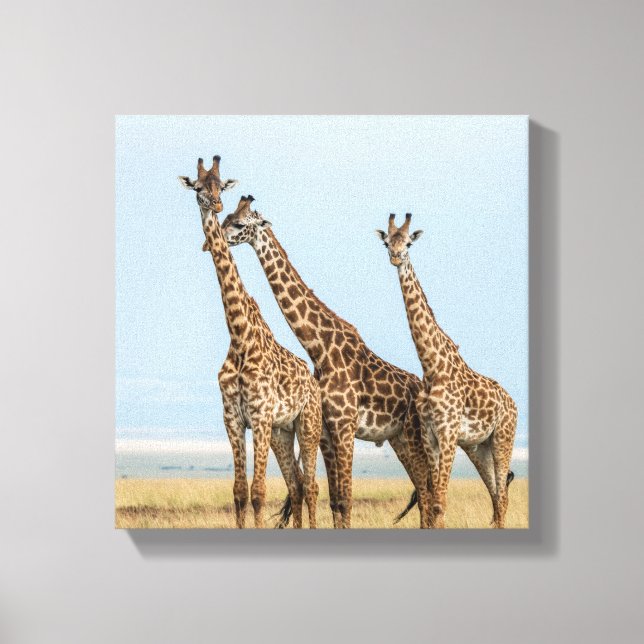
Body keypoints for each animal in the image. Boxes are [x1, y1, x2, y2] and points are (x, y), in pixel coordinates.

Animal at [179, 158, 322, 528]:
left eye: (220, 187)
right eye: (198, 187)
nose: (215, 206)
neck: (240, 335)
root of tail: (313, 380)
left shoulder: (258, 416)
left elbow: (258, 492)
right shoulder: (232, 418)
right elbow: (239, 493)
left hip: (308, 424)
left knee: (312, 486)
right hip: (282, 431)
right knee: (297, 485)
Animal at [220, 197, 432, 528]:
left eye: (240, 224)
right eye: (228, 216)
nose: (218, 234)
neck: (320, 348)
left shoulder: (345, 426)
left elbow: (345, 499)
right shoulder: (326, 432)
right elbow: (333, 499)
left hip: (414, 438)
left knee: (427, 492)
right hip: (398, 440)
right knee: (424, 492)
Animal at [376, 213, 517, 528]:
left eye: (409, 243)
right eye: (386, 242)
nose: (396, 257)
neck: (431, 367)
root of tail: (513, 403)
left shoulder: (449, 432)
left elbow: (440, 502)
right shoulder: (430, 434)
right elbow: (433, 501)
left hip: (503, 438)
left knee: (502, 496)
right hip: (479, 447)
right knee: (496, 496)